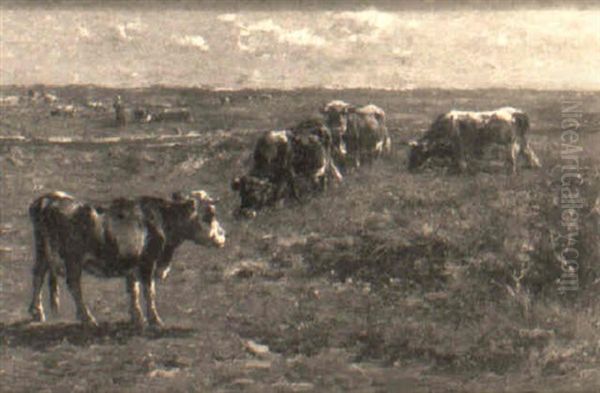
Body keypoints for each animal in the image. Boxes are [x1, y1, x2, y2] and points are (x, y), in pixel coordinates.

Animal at [27, 190, 225, 328]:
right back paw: (87, 318)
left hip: (42, 252)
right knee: (74, 285)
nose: (223, 235)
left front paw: (136, 317)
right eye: (210, 214)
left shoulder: (133, 265)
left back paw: (37, 312)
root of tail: (49, 199)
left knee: (38, 276)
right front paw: (154, 319)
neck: (161, 219)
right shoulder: (148, 262)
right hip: (72, 258)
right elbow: (149, 291)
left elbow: (133, 290)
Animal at [408, 105, 544, 173]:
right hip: (522, 139)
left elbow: (459, 157)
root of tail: (516, 112)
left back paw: (511, 171)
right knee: (528, 152)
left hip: (509, 141)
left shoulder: (457, 143)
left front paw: (460, 169)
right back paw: (534, 166)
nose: (410, 167)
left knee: (513, 156)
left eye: (415, 152)